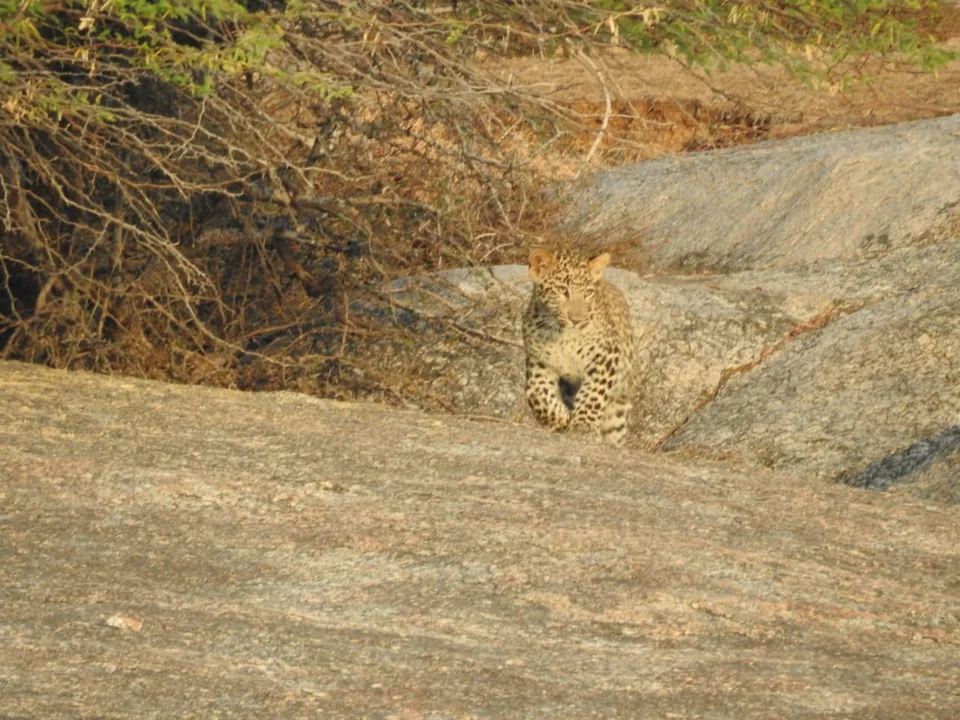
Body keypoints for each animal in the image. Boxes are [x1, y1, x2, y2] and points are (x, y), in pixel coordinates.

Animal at [522, 247, 637, 446]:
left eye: (588, 293)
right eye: (562, 290)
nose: (577, 319)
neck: (563, 336)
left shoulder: (606, 355)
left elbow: (593, 393)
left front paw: (583, 425)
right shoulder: (539, 359)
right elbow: (537, 391)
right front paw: (559, 418)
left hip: (618, 407)